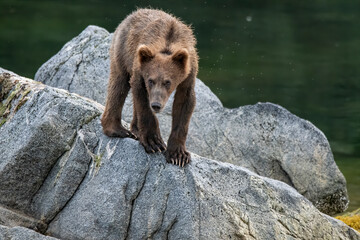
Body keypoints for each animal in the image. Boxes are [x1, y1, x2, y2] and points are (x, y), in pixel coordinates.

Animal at [100, 8, 198, 167]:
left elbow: (184, 103)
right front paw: (154, 142)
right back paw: (117, 129)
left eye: (167, 82)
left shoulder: (189, 74)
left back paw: (135, 130)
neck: (168, 44)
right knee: (119, 85)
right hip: (122, 51)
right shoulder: (140, 69)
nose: (156, 105)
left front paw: (178, 155)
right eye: (151, 80)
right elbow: (142, 99)